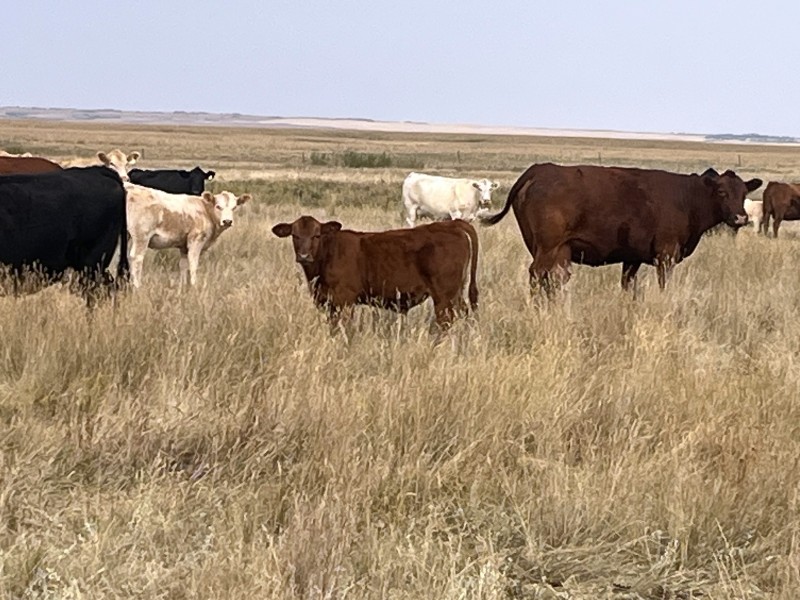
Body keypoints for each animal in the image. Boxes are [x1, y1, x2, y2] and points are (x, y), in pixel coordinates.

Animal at [271, 216, 479, 333]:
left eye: (316, 235)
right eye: (295, 235)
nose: (304, 256)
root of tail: (452, 224)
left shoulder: (344, 300)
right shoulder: (329, 303)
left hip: (444, 296)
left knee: (446, 320)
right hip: (456, 293)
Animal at [480, 163, 762, 296]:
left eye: (744, 193)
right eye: (722, 192)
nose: (740, 217)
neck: (687, 198)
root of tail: (539, 169)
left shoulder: (632, 257)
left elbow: (628, 286)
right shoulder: (666, 254)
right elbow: (663, 285)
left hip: (554, 249)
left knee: (555, 278)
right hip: (547, 246)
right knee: (537, 274)